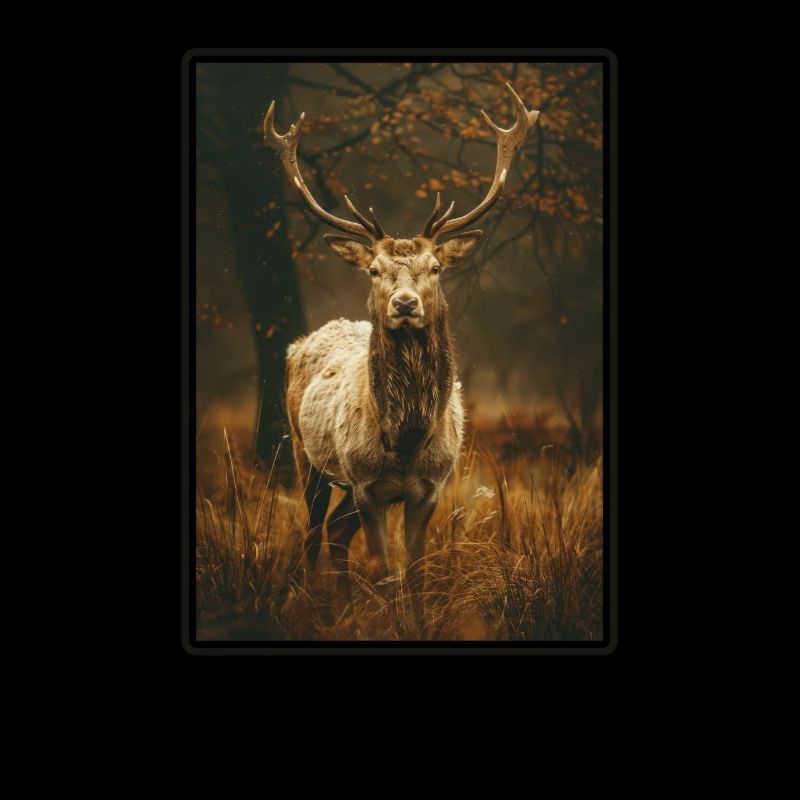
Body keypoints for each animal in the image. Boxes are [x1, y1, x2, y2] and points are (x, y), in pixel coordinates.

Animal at [263, 83, 539, 615]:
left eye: (435, 267)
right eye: (374, 270)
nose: (406, 303)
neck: (406, 437)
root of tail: (296, 344)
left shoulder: (429, 489)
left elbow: (413, 572)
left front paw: (415, 618)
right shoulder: (366, 485)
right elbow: (381, 568)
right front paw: (384, 619)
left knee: (335, 533)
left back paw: (344, 607)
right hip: (306, 456)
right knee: (312, 534)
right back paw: (317, 604)